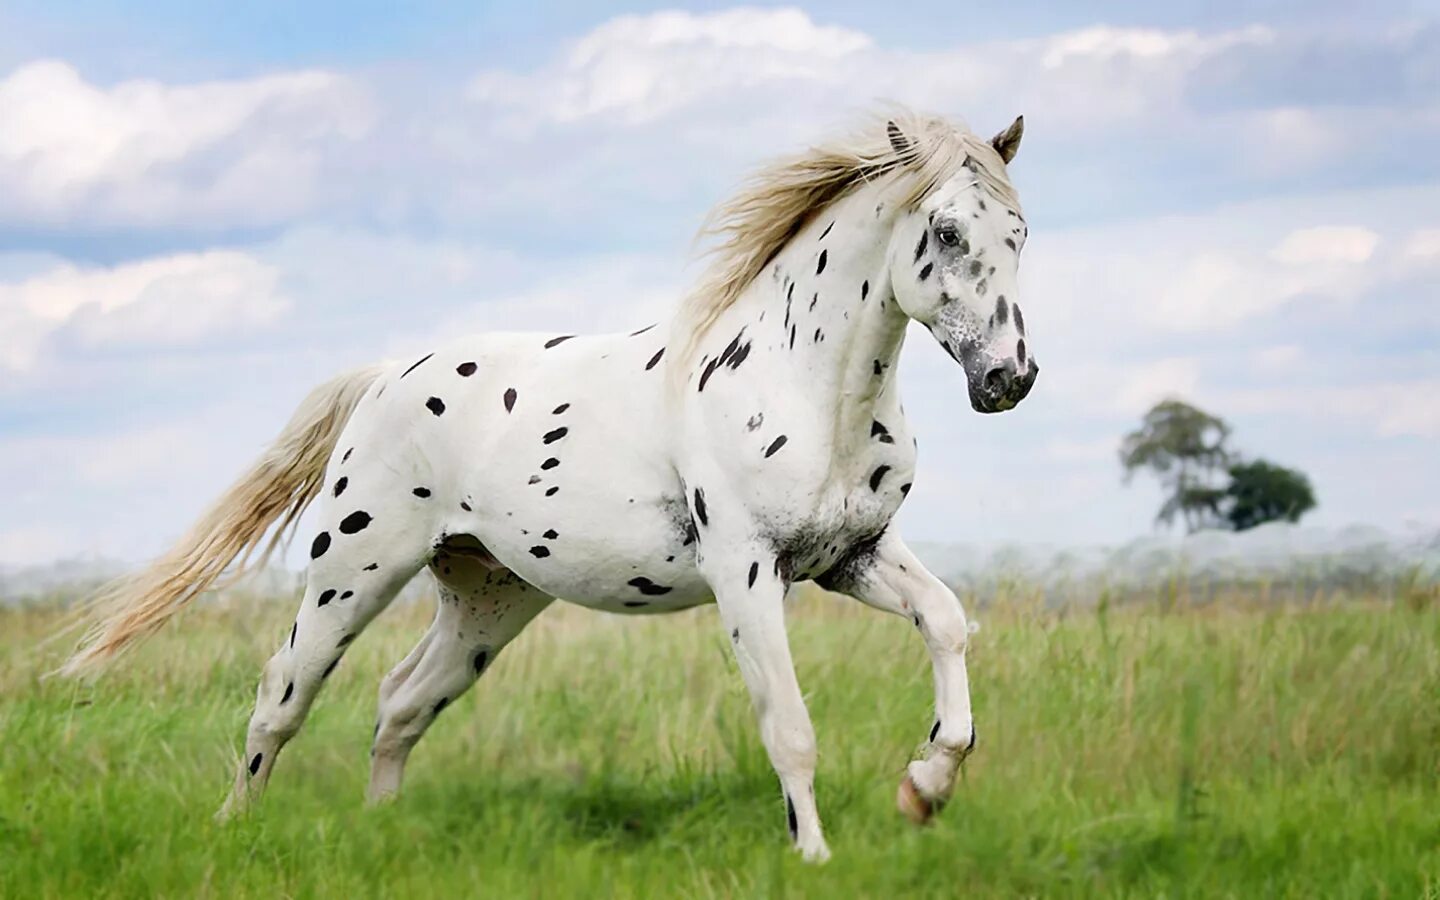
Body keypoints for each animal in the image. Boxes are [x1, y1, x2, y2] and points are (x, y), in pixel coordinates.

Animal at [64, 108, 1036, 858]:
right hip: (354, 573)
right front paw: (817, 856)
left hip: (489, 598)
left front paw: (925, 788)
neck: (798, 382)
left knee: (401, 703)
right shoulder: (747, 572)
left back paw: (383, 832)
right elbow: (787, 724)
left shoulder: (852, 556)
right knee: (280, 697)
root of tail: (382, 377)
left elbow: (948, 623)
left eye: (1019, 234)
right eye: (947, 232)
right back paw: (234, 827)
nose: (1009, 379)